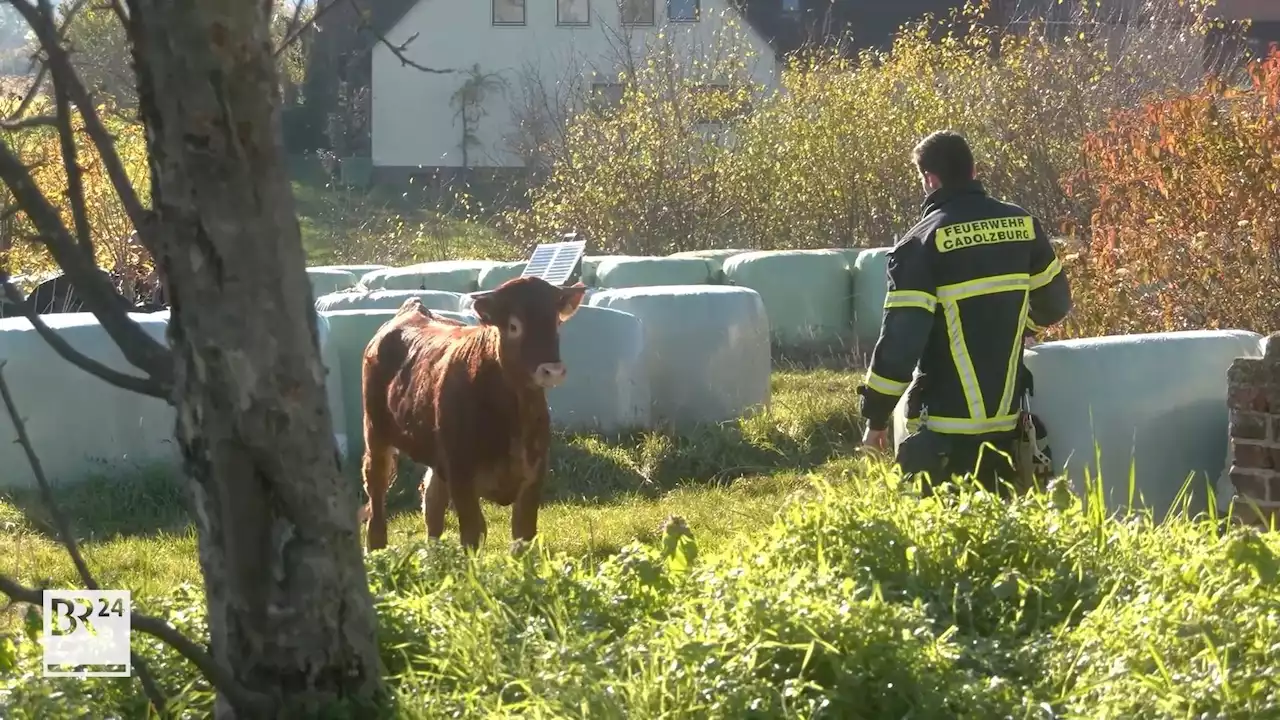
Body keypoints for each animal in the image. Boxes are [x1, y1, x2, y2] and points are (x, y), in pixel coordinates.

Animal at [355, 274, 586, 548]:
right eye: (514, 326)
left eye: (556, 322)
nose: (553, 370)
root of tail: (412, 310)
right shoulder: (461, 473)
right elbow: (473, 533)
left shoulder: (533, 474)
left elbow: (523, 534)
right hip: (375, 432)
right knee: (376, 490)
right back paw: (376, 545)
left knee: (432, 499)